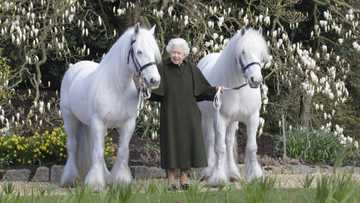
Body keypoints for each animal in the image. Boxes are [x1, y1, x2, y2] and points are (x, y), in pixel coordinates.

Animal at [59, 23, 161, 190]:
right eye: (139, 51)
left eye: (154, 52)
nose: (154, 80)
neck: (117, 87)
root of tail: (74, 67)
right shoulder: (98, 122)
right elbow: (98, 152)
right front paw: (95, 184)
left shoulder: (128, 124)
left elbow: (122, 151)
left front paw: (120, 180)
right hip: (70, 119)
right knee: (72, 145)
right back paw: (70, 179)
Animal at [197, 28, 270, 186]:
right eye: (243, 52)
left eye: (261, 53)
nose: (256, 80)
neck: (237, 89)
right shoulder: (219, 119)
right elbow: (219, 148)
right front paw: (218, 178)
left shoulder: (252, 118)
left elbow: (251, 147)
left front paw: (255, 176)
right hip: (207, 118)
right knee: (211, 141)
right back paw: (208, 171)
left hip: (233, 121)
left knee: (229, 142)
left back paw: (232, 173)